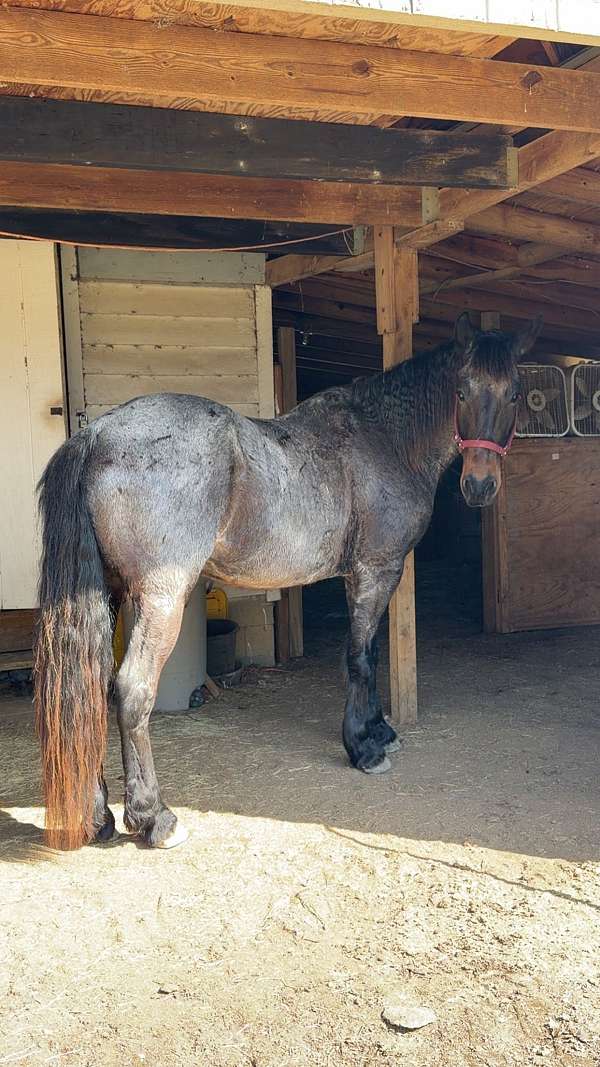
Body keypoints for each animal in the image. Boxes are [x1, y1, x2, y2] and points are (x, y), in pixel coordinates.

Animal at [34, 311, 541, 850]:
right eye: (462, 391)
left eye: (514, 393)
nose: (480, 486)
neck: (385, 440)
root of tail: (97, 436)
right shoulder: (376, 571)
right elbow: (361, 658)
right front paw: (364, 747)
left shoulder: (365, 576)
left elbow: (370, 651)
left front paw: (379, 730)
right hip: (160, 598)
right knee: (131, 691)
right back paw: (155, 818)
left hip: (105, 595)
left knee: (88, 694)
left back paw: (97, 818)